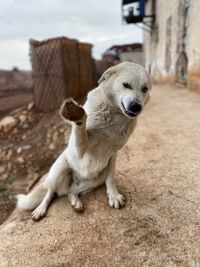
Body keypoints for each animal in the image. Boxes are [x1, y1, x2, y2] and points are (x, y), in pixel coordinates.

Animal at [17, 61, 151, 221]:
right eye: (126, 85)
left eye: (145, 89)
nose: (136, 107)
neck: (114, 114)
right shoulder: (81, 150)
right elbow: (80, 131)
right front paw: (77, 116)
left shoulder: (114, 153)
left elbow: (111, 178)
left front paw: (113, 195)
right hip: (60, 168)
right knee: (51, 192)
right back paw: (41, 209)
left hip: (96, 179)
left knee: (71, 191)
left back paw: (75, 202)